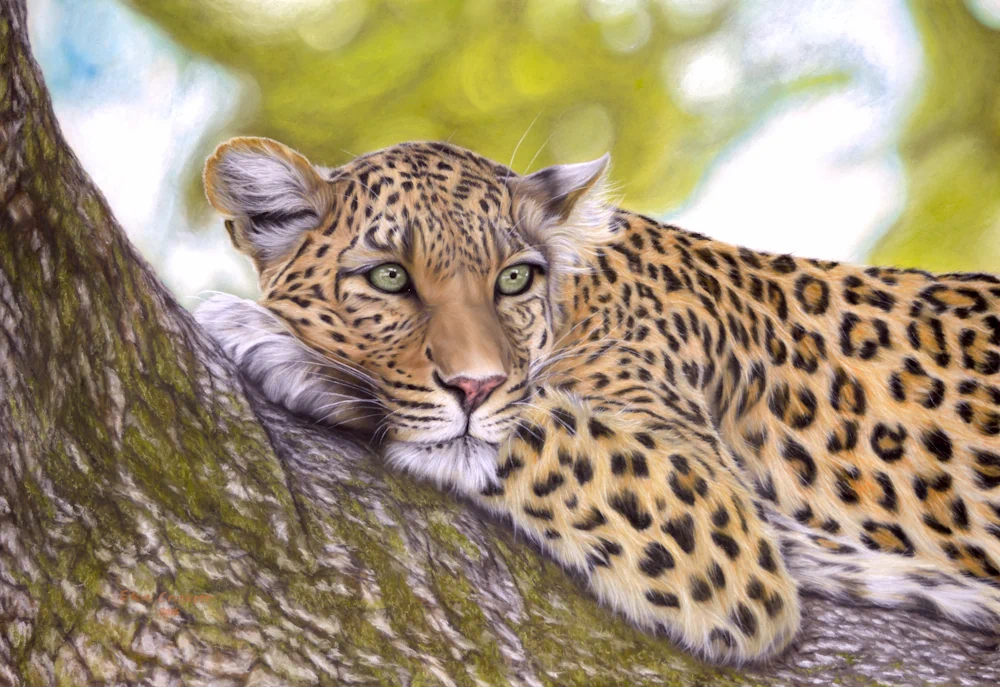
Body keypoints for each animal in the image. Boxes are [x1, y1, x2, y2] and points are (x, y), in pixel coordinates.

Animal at [195, 136, 1000, 664]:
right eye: (389, 278)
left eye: (514, 278)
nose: (474, 385)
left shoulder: (722, 517)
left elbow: (542, 424)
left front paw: (282, 347)